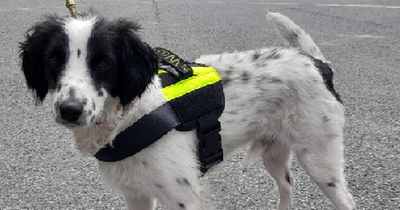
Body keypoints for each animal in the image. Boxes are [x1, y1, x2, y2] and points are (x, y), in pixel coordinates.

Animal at [19, 10, 356, 210]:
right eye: (53, 59)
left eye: (104, 62)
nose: (70, 110)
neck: (128, 118)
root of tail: (317, 63)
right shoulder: (137, 194)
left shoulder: (184, 196)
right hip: (275, 154)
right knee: (287, 187)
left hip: (321, 163)